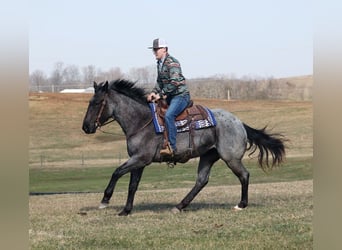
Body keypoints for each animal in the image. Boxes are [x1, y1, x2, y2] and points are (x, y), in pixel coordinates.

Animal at [81, 79, 284, 215]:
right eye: (89, 102)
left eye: (97, 103)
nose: (86, 127)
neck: (141, 121)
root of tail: (239, 123)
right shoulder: (138, 161)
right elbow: (133, 185)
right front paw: (126, 210)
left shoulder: (140, 159)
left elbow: (116, 172)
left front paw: (105, 200)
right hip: (208, 156)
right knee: (201, 181)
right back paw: (179, 206)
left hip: (231, 158)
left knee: (244, 175)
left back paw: (241, 204)